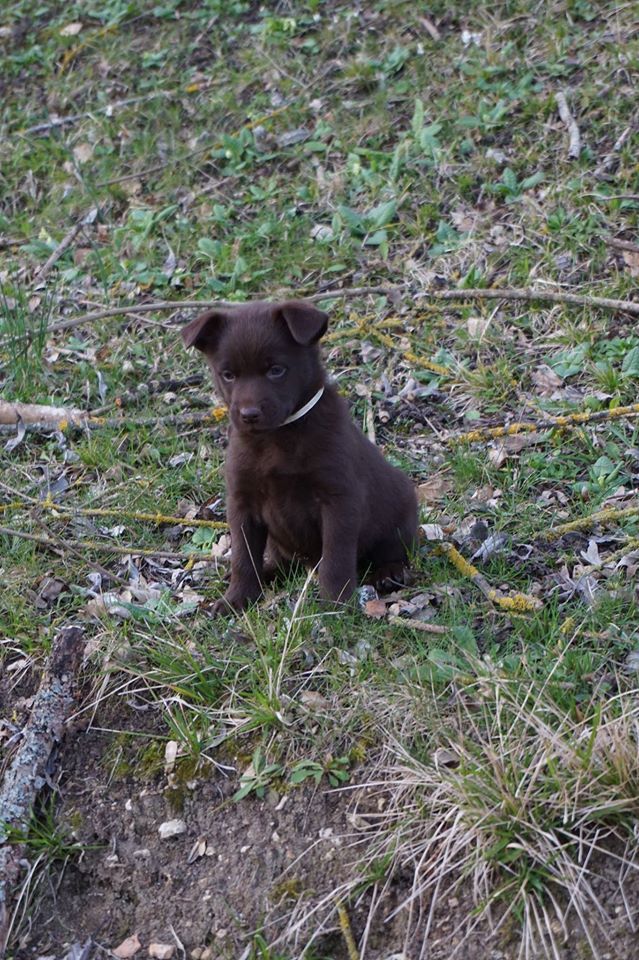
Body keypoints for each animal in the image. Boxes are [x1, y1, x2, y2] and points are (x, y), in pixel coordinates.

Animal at [181, 300, 420, 616]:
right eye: (228, 374)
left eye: (276, 370)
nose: (249, 414)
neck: (276, 438)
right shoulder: (242, 502)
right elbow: (243, 557)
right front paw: (237, 598)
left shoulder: (339, 500)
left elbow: (336, 557)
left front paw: (334, 603)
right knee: (281, 562)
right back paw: (268, 572)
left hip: (400, 513)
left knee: (394, 550)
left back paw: (389, 573)